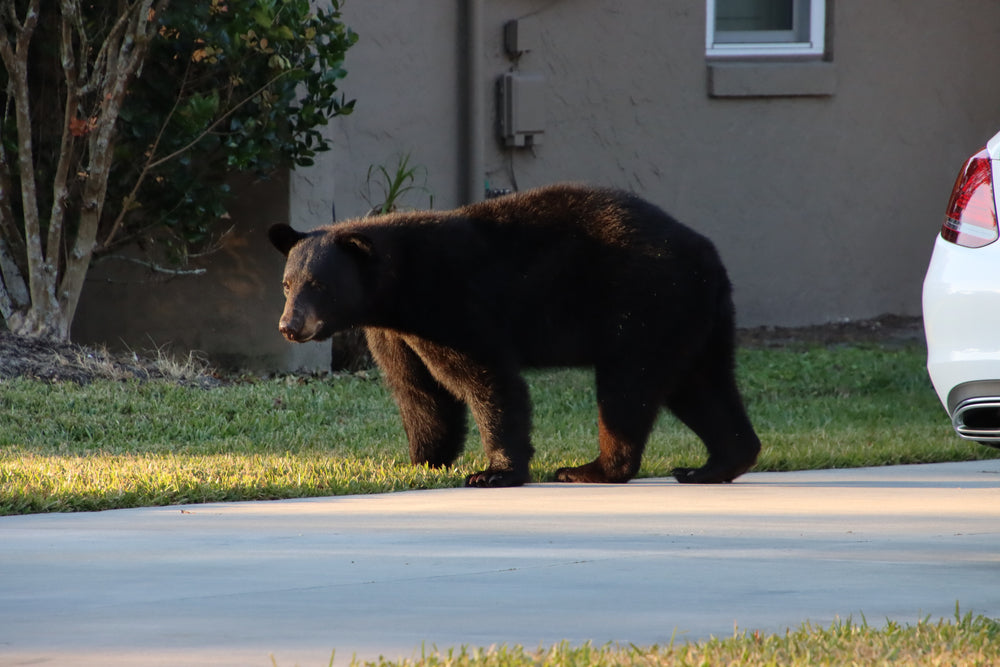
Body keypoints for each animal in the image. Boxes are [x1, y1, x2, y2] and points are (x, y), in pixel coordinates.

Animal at [269, 184, 761, 488]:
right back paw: (712, 464)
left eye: (319, 285)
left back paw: (590, 468)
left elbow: (486, 379)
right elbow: (418, 391)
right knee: (702, 385)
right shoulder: (393, 334)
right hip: (693, 318)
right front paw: (419, 462)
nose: (289, 327)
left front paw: (493, 472)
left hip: (644, 306)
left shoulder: (454, 304)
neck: (399, 287)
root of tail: (708, 254)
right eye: (288, 284)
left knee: (627, 388)